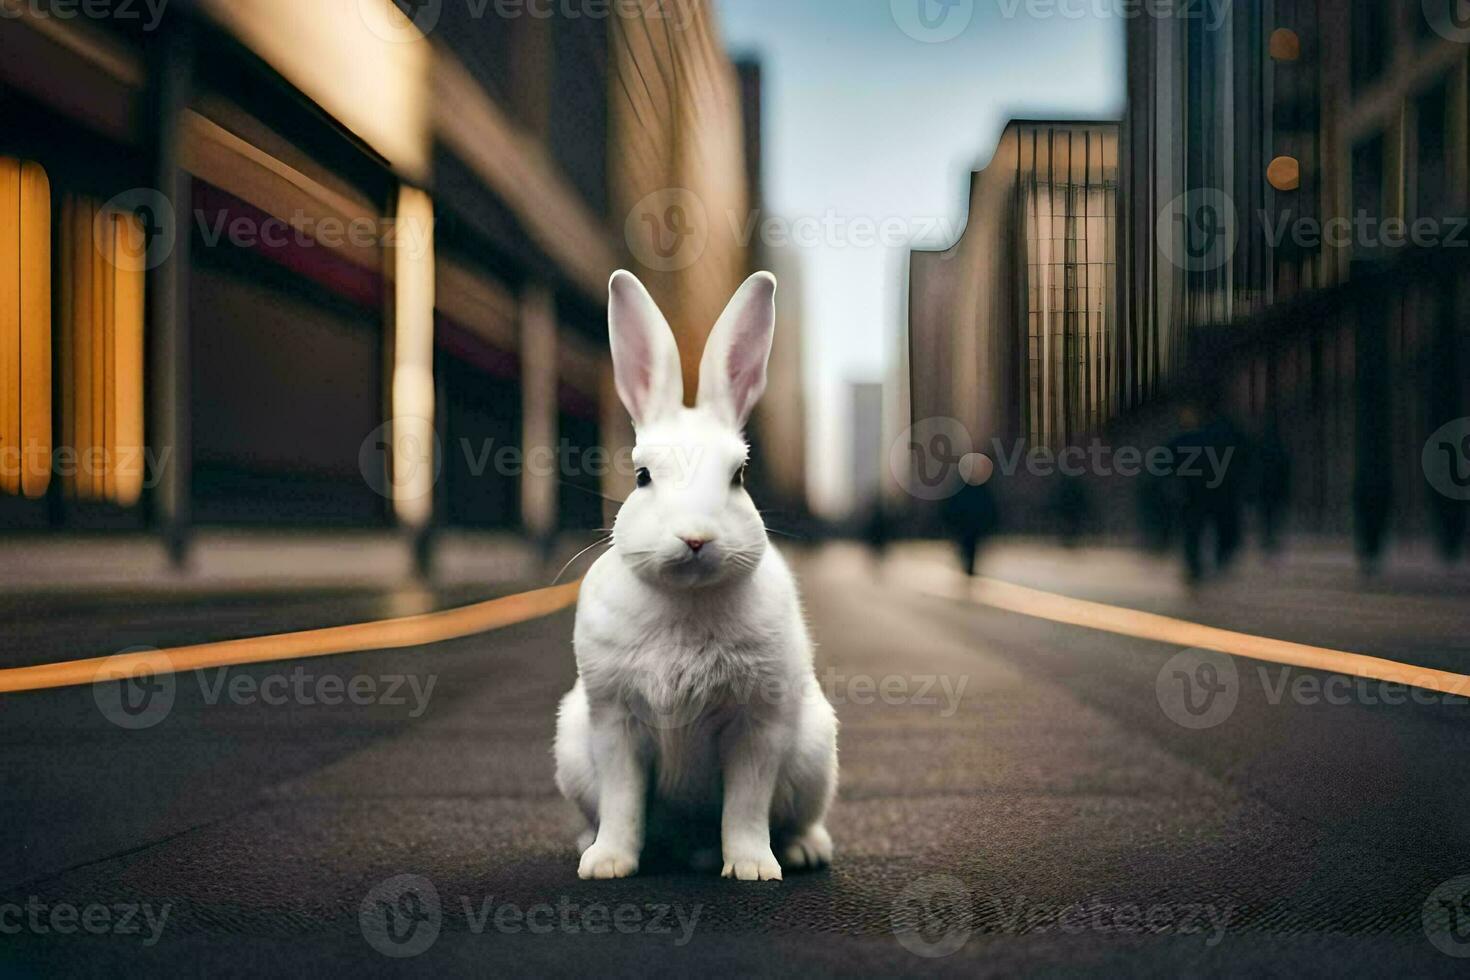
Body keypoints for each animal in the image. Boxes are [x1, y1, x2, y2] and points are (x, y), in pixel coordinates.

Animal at [555, 271, 840, 887]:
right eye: (641, 475)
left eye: (740, 475)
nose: (694, 538)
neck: (684, 600)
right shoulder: (615, 722)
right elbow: (622, 803)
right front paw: (608, 864)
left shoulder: (758, 726)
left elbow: (746, 807)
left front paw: (753, 868)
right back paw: (590, 843)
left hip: (814, 755)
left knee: (796, 818)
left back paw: (802, 852)